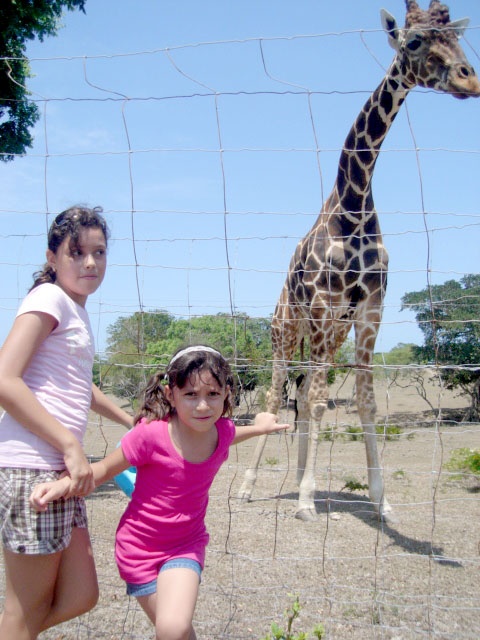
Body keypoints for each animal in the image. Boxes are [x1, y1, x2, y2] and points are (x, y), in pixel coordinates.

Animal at [238, 0, 478, 520]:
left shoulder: (370, 309)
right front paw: (308, 502)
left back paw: (297, 481)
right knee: (277, 394)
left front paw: (381, 501)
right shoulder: (325, 305)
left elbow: (363, 402)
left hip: (325, 335)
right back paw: (250, 487)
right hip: (286, 331)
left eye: (456, 37)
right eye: (414, 41)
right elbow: (321, 403)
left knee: (303, 393)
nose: (468, 79)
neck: (355, 202)